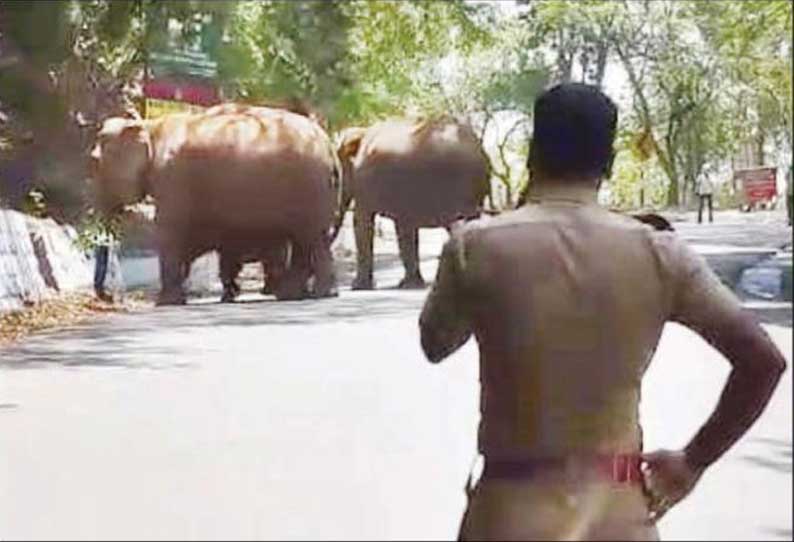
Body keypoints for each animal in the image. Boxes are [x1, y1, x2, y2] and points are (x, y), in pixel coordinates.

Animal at [91, 105, 338, 306]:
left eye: (95, 162)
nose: (111, 297)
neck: (150, 127)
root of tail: (328, 146)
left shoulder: (172, 178)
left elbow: (170, 230)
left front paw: (165, 303)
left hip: (310, 187)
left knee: (311, 238)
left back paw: (318, 294)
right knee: (306, 240)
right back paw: (296, 294)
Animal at [330, 117, 488, 292]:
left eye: (336, 173)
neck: (361, 132)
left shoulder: (365, 179)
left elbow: (363, 222)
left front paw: (359, 287)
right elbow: (404, 227)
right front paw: (411, 284)